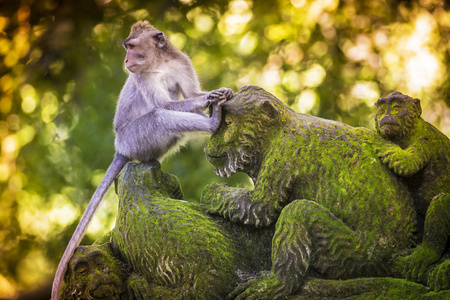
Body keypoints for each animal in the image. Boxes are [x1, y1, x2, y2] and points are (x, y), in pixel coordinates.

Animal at [52, 19, 234, 298]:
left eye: (132, 47)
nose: (126, 60)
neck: (159, 63)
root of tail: (121, 148)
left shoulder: (181, 61)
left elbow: (189, 92)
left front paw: (211, 95)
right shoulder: (142, 77)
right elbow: (165, 105)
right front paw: (210, 97)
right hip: (137, 138)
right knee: (159, 116)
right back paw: (213, 122)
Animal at [372, 92, 450, 288]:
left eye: (396, 107)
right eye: (382, 109)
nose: (386, 115)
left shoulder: (424, 140)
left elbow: (406, 163)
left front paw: (378, 141)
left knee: (442, 201)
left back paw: (427, 255)